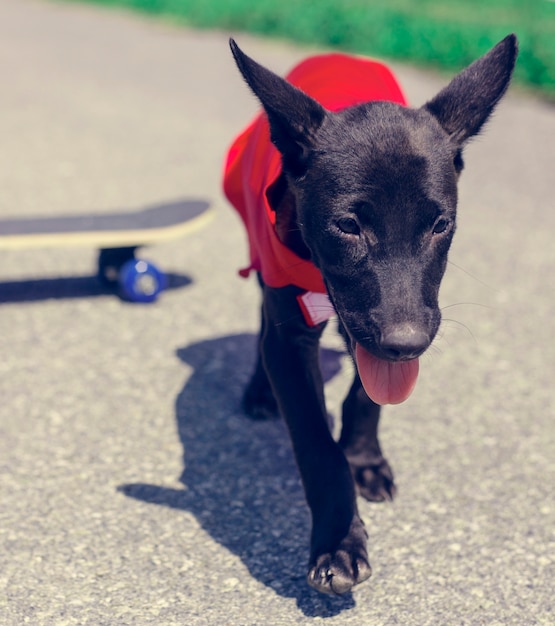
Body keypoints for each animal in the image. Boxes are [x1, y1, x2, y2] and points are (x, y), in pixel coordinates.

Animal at [224, 36, 520, 592]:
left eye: (440, 225)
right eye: (347, 226)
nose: (406, 343)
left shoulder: (393, 323)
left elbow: (368, 393)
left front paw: (363, 458)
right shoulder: (296, 331)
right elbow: (317, 444)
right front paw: (339, 543)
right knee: (261, 322)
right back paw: (258, 391)